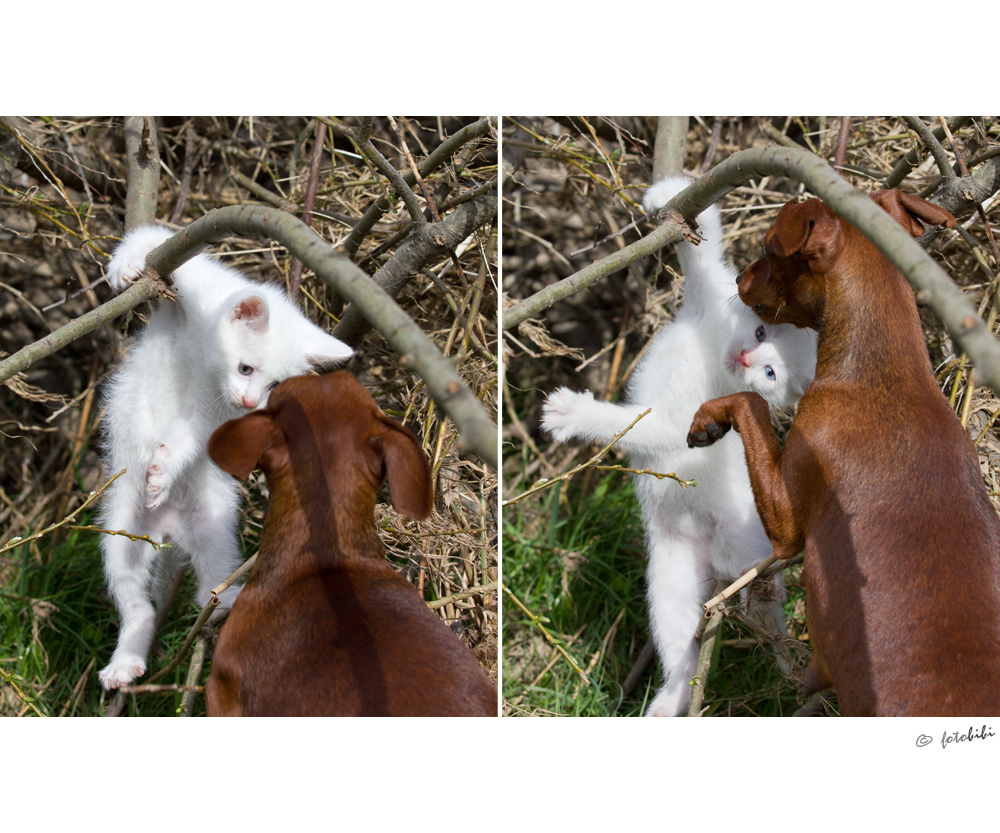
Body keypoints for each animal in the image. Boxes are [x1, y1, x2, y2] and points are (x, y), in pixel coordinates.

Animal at [94, 224, 352, 684]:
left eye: (274, 386)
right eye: (246, 368)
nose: (250, 404)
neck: (205, 364)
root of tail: (167, 529)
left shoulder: (213, 415)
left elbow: (190, 438)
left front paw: (163, 471)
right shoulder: (194, 286)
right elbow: (156, 239)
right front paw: (126, 267)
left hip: (213, 519)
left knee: (209, 582)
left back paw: (227, 603)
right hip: (121, 530)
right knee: (135, 599)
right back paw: (126, 660)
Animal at [540, 177, 812, 716]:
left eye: (771, 374)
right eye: (759, 330)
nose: (746, 357)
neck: (712, 352)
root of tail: (722, 559)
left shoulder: (683, 422)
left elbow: (631, 425)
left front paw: (572, 414)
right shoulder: (710, 295)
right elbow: (703, 245)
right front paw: (671, 196)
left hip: (740, 555)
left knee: (759, 603)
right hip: (673, 579)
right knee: (682, 646)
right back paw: (668, 701)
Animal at [684, 190, 1000, 716]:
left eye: (768, 249)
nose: (740, 276)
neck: (884, 372)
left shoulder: (787, 523)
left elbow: (750, 402)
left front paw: (709, 417)